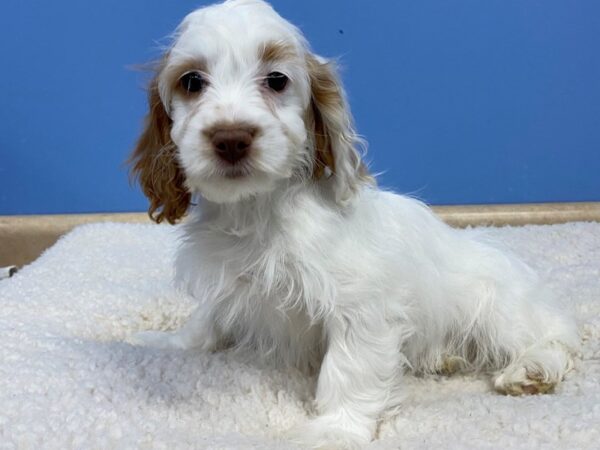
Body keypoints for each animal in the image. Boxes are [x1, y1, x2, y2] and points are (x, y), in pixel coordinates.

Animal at [129, 1, 580, 448]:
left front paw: (334, 429)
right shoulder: (228, 281)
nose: (231, 137)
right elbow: (207, 319)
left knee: (557, 337)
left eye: (277, 80)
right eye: (191, 81)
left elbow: (348, 369)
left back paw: (532, 368)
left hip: (497, 308)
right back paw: (446, 357)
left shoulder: (361, 307)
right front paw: (169, 343)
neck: (255, 210)